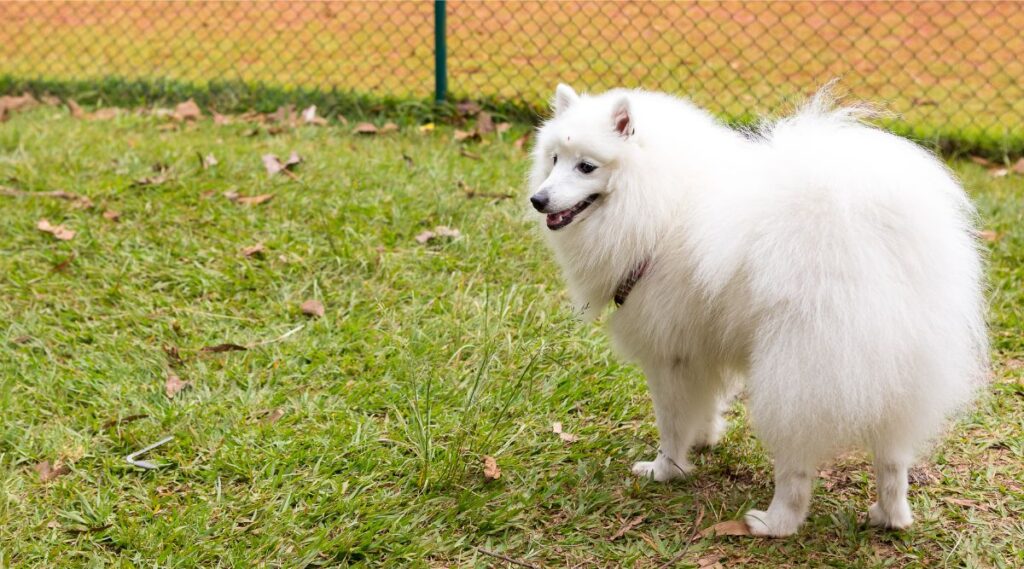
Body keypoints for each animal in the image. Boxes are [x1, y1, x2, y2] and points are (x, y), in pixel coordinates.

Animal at [528, 84, 983, 536]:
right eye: (554, 159)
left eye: (587, 167)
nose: (538, 199)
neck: (657, 198)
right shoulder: (698, 347)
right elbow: (704, 403)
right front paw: (704, 439)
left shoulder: (667, 356)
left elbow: (671, 423)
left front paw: (666, 469)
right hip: (900, 374)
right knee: (892, 459)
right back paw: (889, 517)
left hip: (797, 373)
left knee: (797, 465)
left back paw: (775, 521)